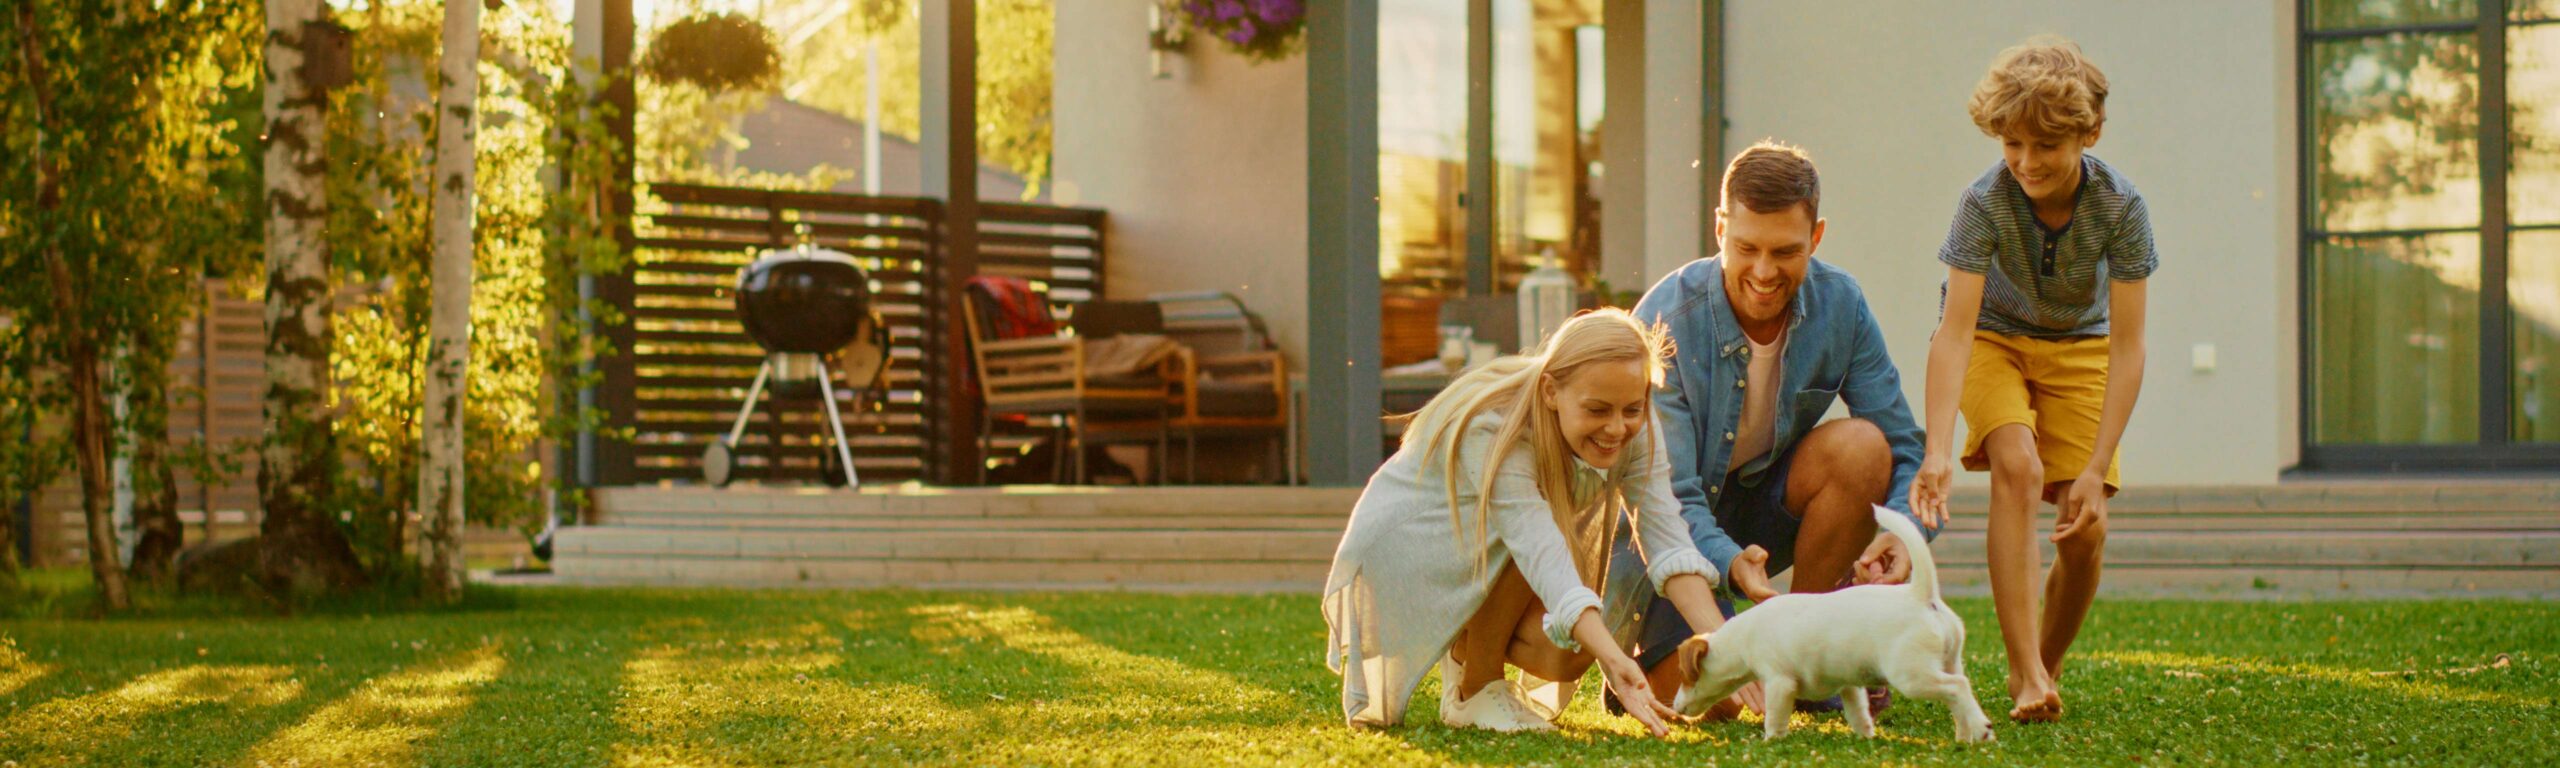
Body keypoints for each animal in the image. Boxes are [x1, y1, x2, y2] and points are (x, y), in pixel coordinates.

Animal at [1658, 506, 1996, 742]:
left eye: (1684, 676)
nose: (1674, 709)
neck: (1742, 638)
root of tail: (1922, 595)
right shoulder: (1849, 685)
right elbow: (1858, 713)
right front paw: (1866, 737)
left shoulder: (1780, 682)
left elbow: (1775, 717)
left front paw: (1770, 741)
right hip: (1948, 661)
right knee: (1956, 697)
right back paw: (1964, 737)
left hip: (1911, 675)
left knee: (1957, 687)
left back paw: (1982, 729)